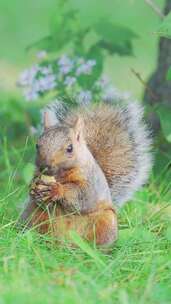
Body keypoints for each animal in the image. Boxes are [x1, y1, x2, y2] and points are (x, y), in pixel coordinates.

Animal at [20, 100, 152, 247]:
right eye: (37, 145)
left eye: (70, 148)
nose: (45, 167)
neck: (60, 174)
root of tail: (65, 243)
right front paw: (33, 188)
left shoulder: (91, 182)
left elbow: (82, 196)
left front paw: (57, 190)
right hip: (33, 215)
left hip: (106, 222)